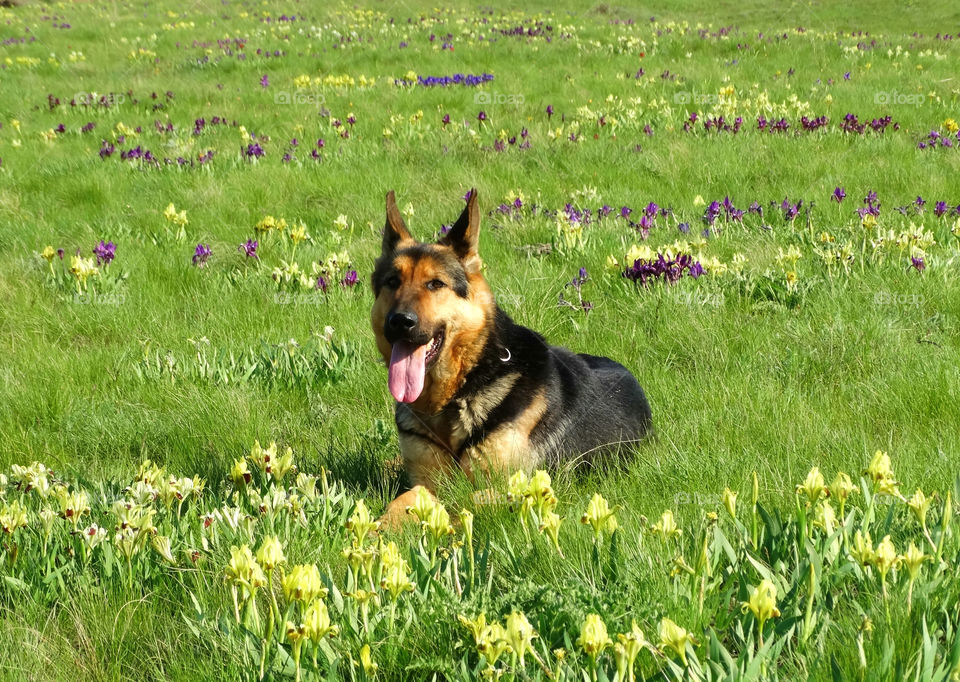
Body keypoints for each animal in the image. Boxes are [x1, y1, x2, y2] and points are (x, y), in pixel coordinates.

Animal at [372, 189, 648, 516]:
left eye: (435, 284)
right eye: (392, 282)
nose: (400, 322)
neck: (462, 389)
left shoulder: (508, 486)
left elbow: (463, 501)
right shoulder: (425, 480)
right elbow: (401, 502)